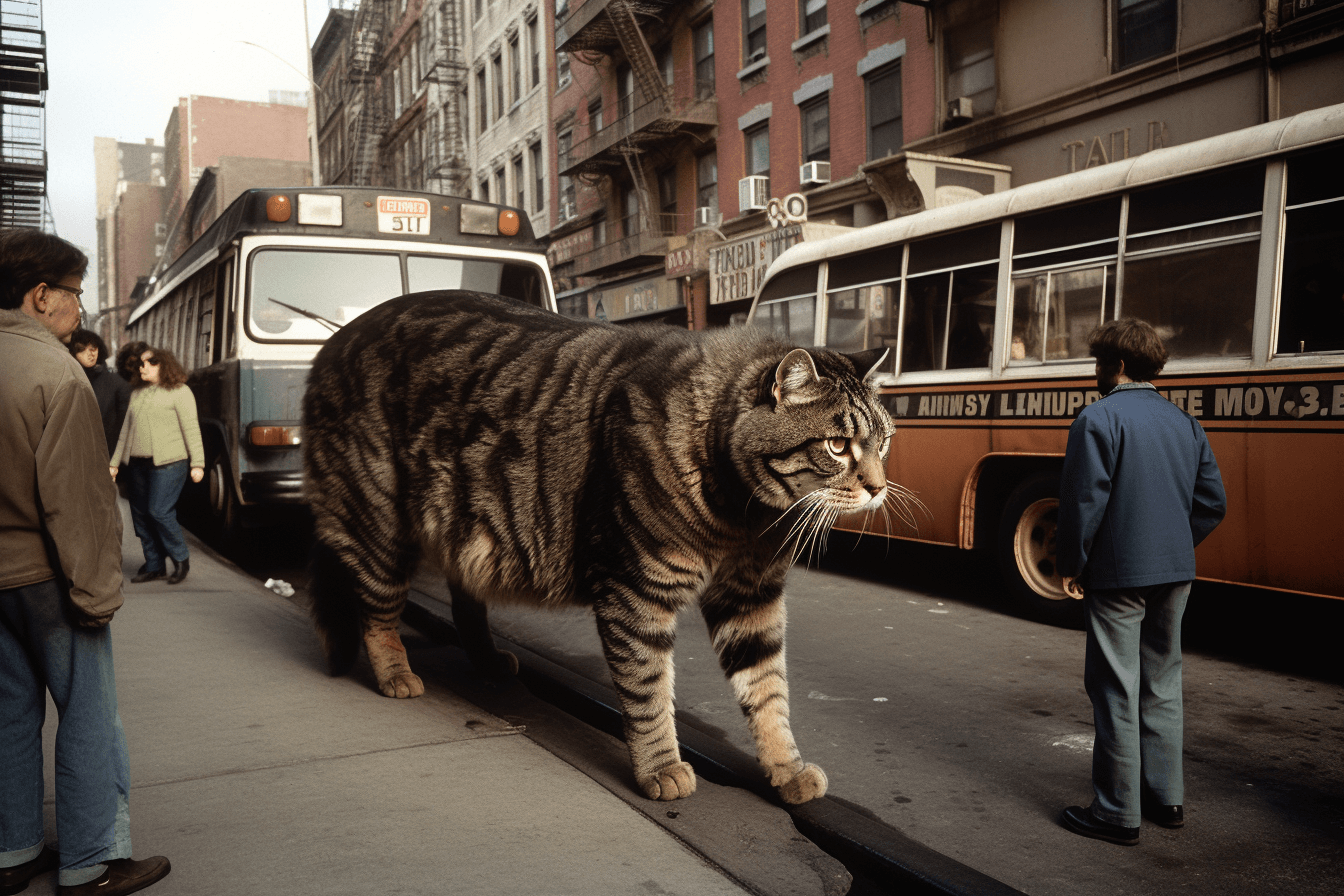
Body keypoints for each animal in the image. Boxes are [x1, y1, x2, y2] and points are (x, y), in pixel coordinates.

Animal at [299, 292, 897, 805]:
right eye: (837, 446)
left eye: (884, 442)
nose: (878, 486)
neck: (744, 515)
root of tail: (333, 340)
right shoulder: (638, 591)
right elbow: (649, 691)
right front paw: (661, 767)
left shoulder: (751, 599)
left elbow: (769, 692)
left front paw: (786, 768)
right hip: (380, 525)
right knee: (375, 611)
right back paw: (394, 673)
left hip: (463, 533)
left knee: (464, 600)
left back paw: (486, 658)